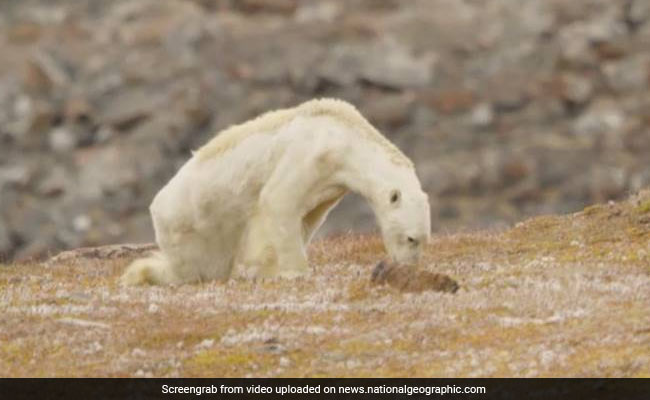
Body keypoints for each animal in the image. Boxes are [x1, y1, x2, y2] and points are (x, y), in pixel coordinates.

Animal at [119, 97, 428, 284]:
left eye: (424, 240)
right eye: (411, 238)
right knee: (195, 269)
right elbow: (278, 200)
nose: (407, 268)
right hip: (191, 228)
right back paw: (139, 274)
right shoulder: (310, 155)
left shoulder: (329, 185)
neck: (344, 137)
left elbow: (305, 218)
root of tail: (156, 206)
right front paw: (294, 272)